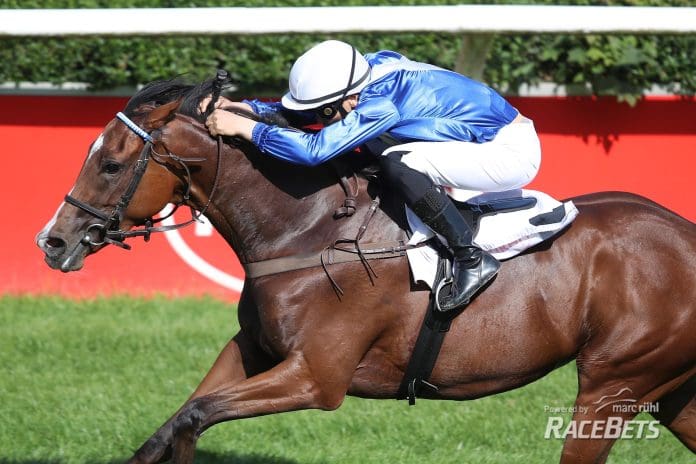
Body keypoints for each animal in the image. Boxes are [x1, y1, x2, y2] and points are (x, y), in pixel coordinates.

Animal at [36, 78, 696, 462]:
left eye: (112, 164)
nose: (53, 241)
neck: (309, 231)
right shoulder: (252, 349)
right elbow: (177, 421)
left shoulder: (317, 377)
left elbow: (196, 414)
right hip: (668, 389)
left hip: (613, 385)